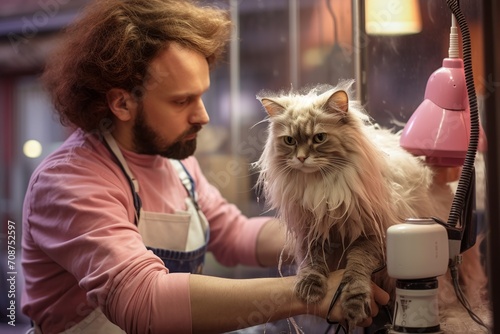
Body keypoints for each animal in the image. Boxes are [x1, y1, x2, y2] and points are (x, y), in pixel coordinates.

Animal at [256, 80, 490, 332]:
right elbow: (312, 262)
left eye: (319, 138)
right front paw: (310, 286)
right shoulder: (312, 231)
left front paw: (355, 303)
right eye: (289, 141)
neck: (323, 187)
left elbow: (356, 270)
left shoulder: (369, 236)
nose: (301, 158)